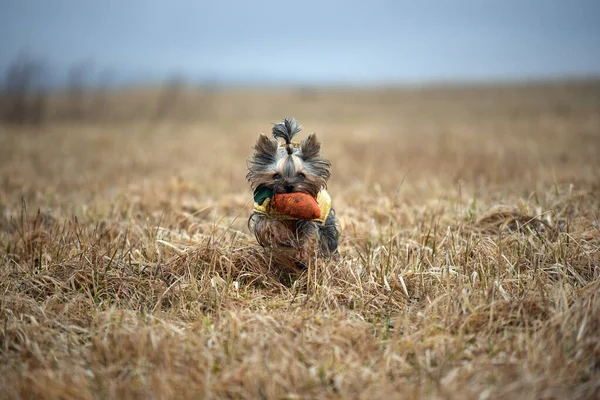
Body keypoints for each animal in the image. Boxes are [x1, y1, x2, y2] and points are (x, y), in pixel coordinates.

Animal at [247, 118, 340, 266]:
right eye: (276, 176)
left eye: (301, 175)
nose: (289, 186)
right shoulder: (263, 216)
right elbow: (269, 226)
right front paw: (284, 237)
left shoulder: (311, 220)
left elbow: (309, 235)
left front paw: (303, 257)